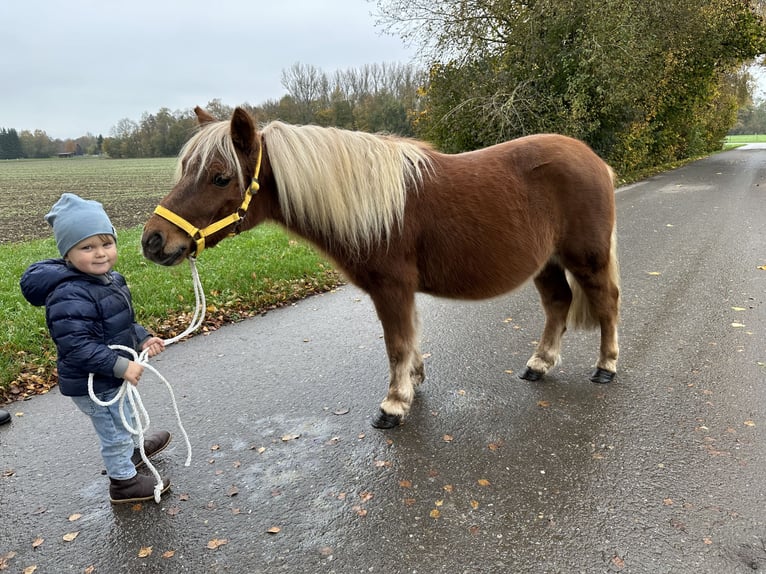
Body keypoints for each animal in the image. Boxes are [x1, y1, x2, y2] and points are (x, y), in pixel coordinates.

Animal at [144, 108, 620, 430]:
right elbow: (409, 338)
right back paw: (540, 364)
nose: (152, 241)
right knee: (559, 303)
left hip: (586, 259)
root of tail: (593, 159)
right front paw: (414, 380)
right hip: (547, 263)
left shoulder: (391, 287)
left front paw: (394, 404)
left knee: (607, 304)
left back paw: (606, 367)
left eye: (220, 177)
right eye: (185, 169)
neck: (376, 207)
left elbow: (395, 343)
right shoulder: (400, 292)